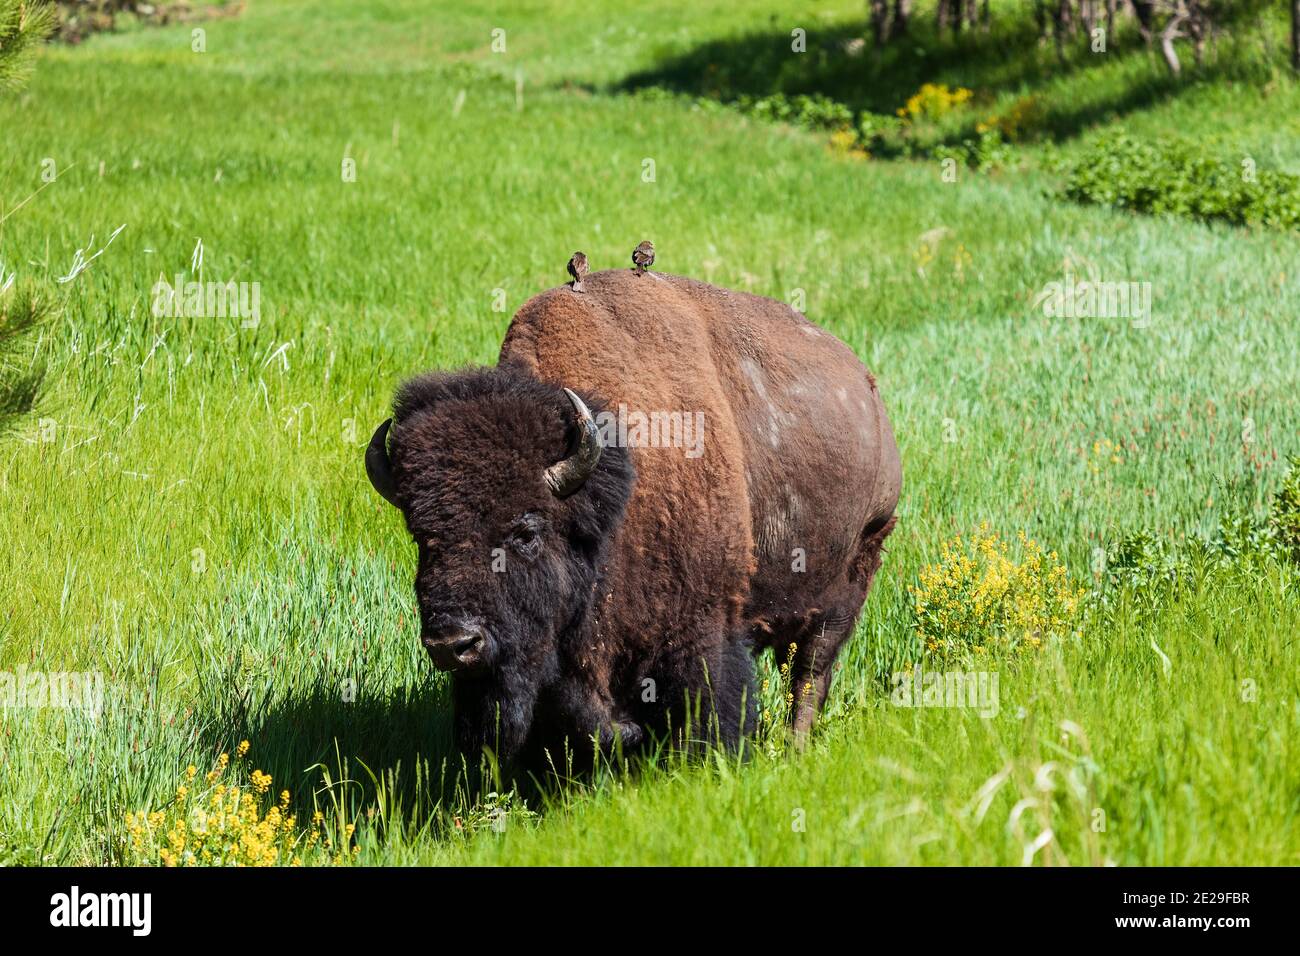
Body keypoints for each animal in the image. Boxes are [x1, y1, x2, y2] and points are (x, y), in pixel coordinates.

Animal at [361, 267, 899, 770]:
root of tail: (867, 390)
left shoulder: (702, 629)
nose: (454, 644)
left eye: (526, 531)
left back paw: (794, 750)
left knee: (808, 677)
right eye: (422, 537)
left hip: (848, 586)